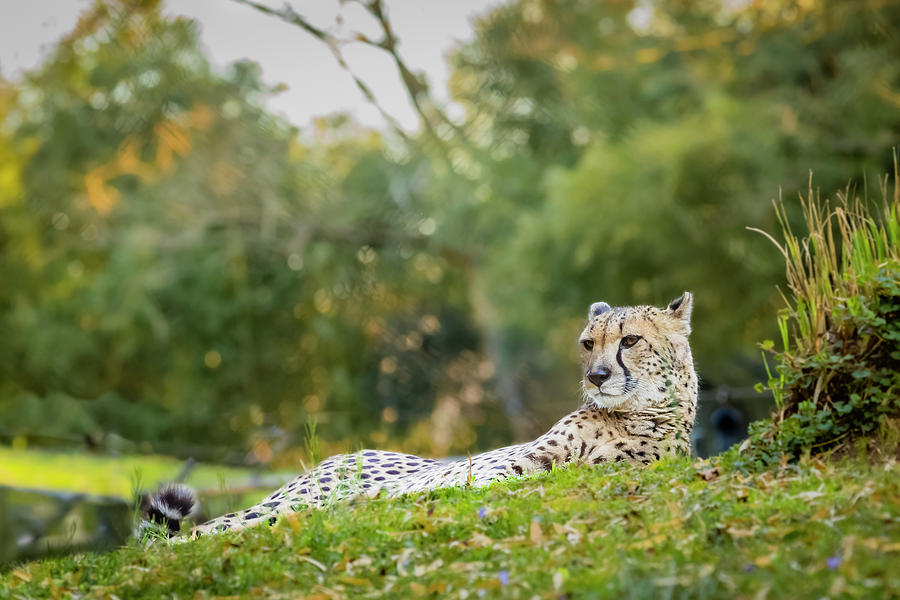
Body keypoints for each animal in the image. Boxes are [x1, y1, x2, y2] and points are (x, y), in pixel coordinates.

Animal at [143, 292, 698, 539]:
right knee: (197, 533)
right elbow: (496, 476)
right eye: (588, 343)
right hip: (292, 501)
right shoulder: (519, 462)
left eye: (630, 340)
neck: (633, 413)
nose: (597, 377)